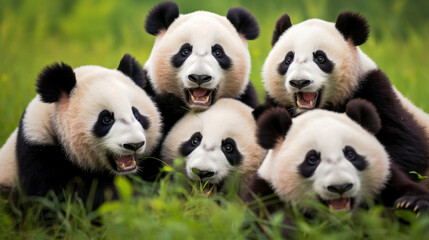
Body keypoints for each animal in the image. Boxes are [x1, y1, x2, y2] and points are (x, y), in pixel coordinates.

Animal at [256, 10, 428, 210]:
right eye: (288, 59)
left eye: (320, 58)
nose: (299, 82)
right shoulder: (275, 104)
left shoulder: (373, 91)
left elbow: (404, 143)